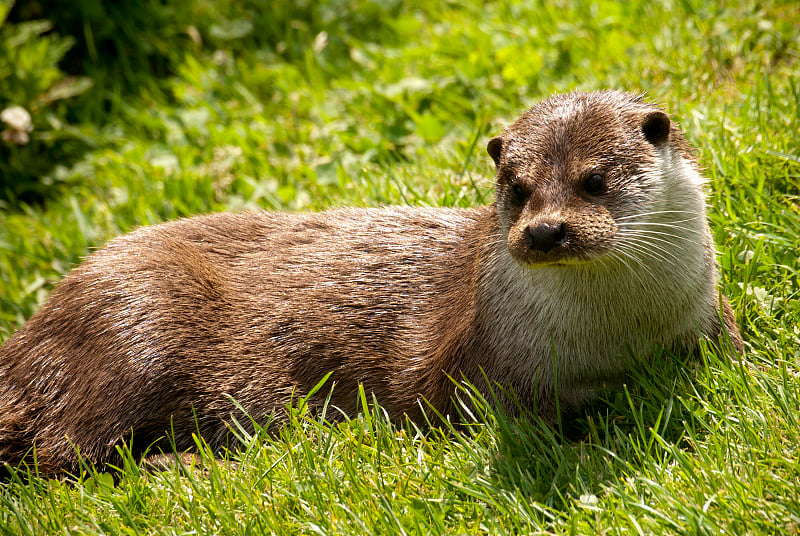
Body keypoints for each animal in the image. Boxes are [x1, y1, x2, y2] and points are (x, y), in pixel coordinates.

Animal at [0, 91, 744, 474]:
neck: (614, 341)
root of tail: (30, 338)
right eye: (518, 188)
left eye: (595, 179)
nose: (545, 231)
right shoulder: (476, 373)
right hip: (137, 323)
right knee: (65, 453)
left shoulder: (707, 319)